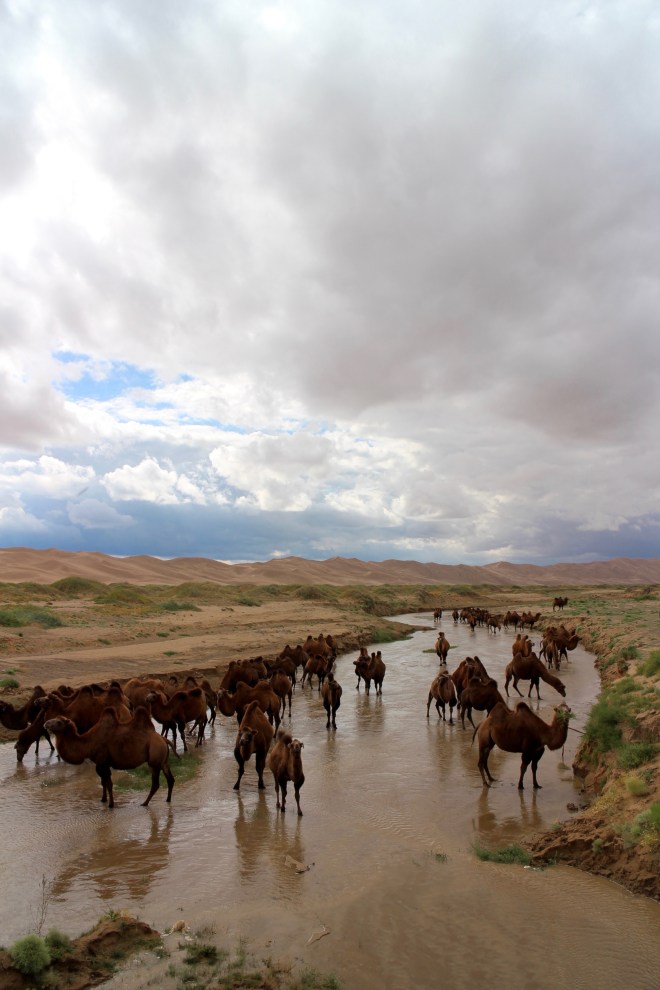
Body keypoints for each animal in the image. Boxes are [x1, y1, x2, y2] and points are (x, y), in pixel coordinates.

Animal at [44, 706, 175, 808]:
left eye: (59, 722)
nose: (45, 724)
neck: (88, 744)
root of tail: (164, 740)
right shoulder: (100, 763)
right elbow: (103, 782)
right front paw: (103, 800)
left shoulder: (102, 762)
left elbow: (109, 783)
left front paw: (111, 804)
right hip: (163, 760)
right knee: (170, 779)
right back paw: (168, 799)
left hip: (154, 759)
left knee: (155, 783)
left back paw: (145, 803)